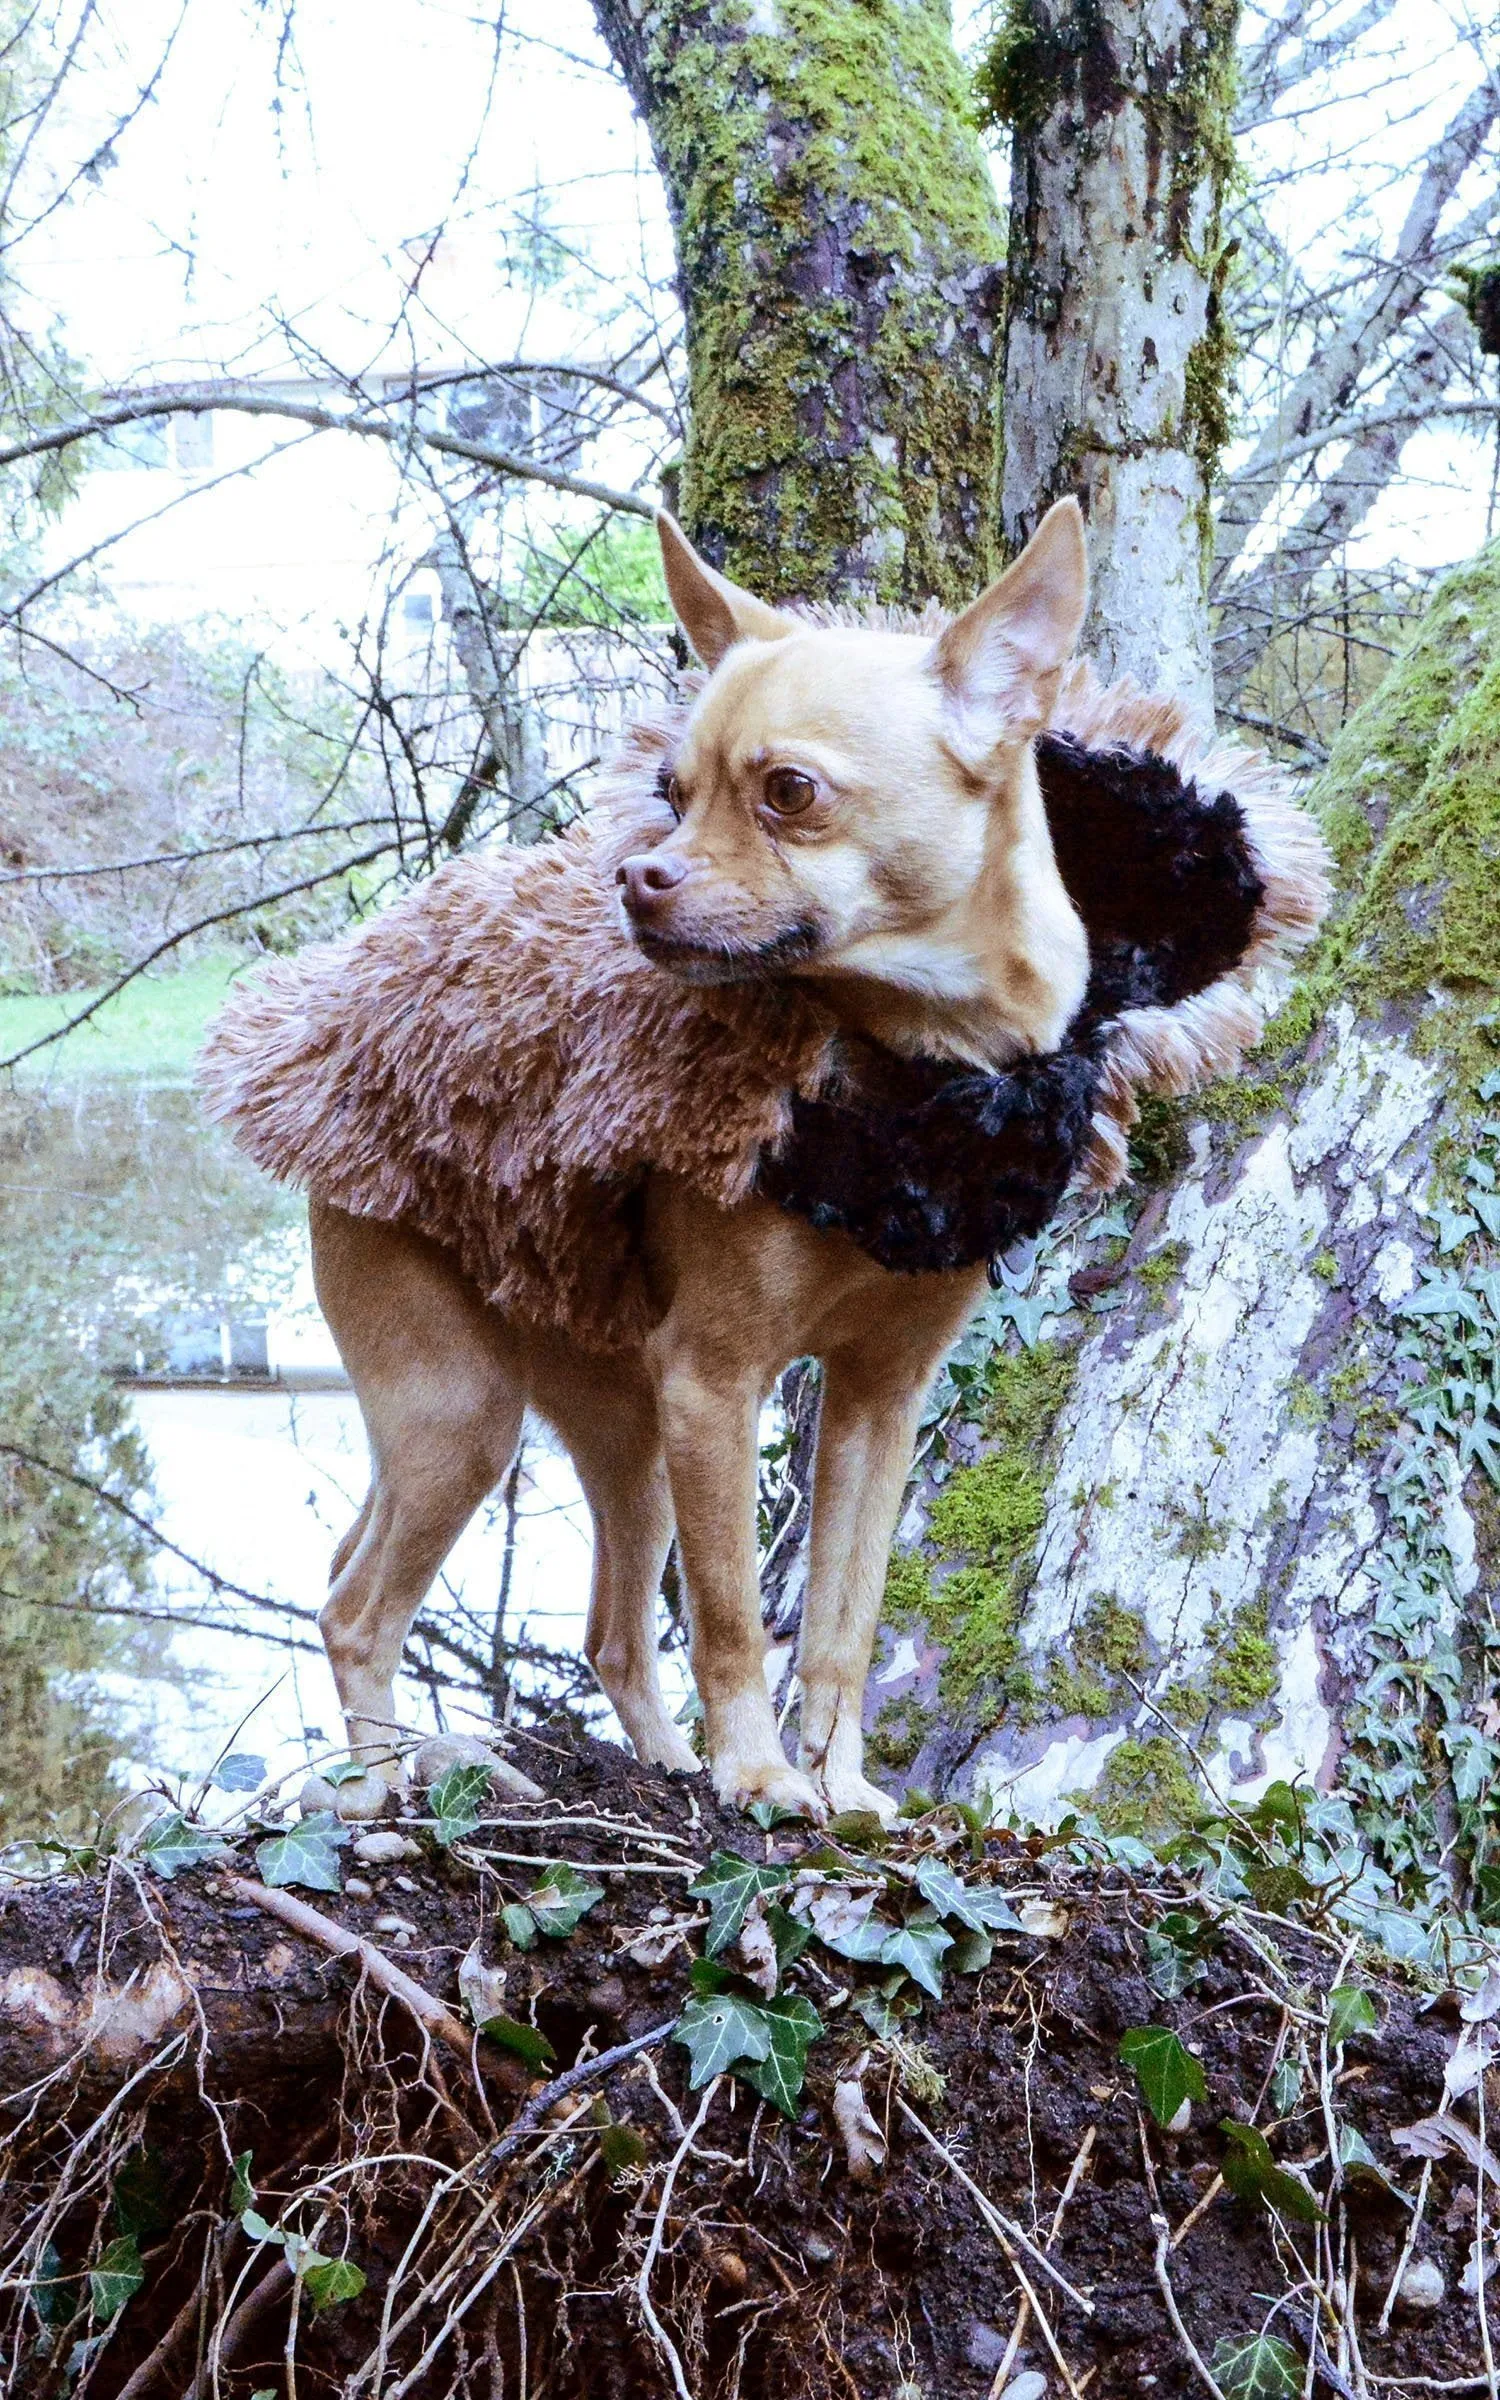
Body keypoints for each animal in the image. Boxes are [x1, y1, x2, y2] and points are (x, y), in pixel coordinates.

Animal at [312, 506, 1089, 1814]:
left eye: (789, 793)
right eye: (669, 793)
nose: (637, 874)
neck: (905, 1077)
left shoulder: (876, 1405)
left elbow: (841, 1625)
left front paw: (840, 1786)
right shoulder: (719, 1385)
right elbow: (732, 1622)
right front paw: (765, 1776)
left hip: (619, 1434)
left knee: (605, 1629)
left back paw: (660, 1767)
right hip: (466, 1417)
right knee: (358, 1611)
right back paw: (398, 1786)